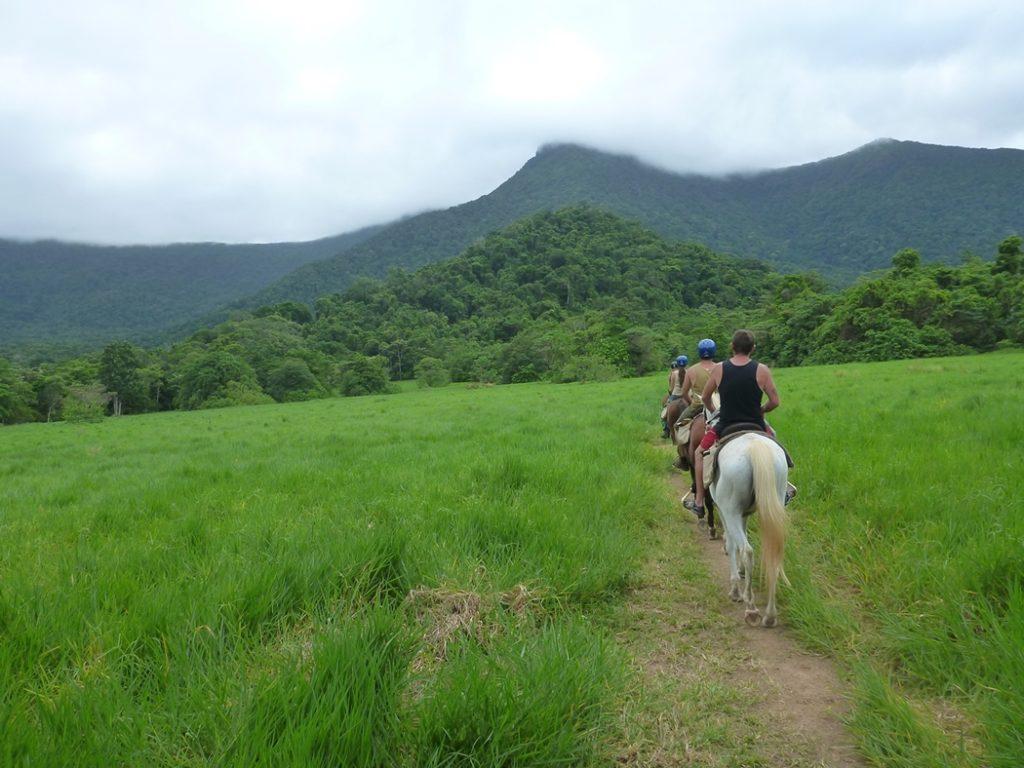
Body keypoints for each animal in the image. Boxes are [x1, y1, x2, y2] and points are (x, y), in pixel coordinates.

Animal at [712, 430, 790, 626]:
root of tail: (756, 447)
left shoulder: (725, 511)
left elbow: (732, 544)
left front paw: (735, 589)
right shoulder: (743, 514)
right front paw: (740, 571)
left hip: (730, 510)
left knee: (747, 550)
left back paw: (751, 607)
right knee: (773, 556)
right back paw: (770, 615)